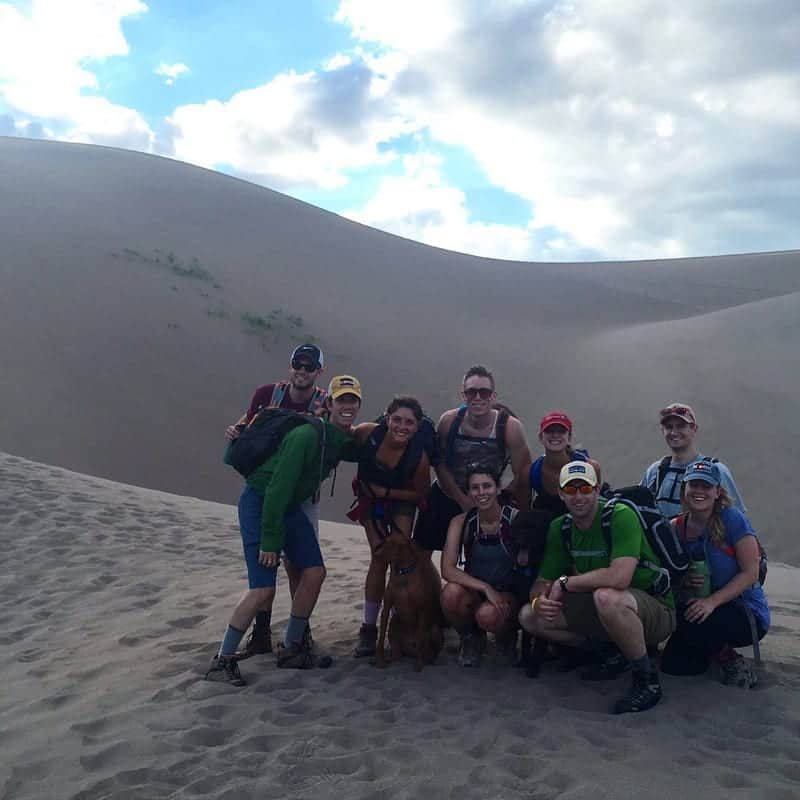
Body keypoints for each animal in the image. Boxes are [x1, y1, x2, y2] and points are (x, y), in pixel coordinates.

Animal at [374, 536, 444, 672]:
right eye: (385, 542)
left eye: (393, 545)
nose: (375, 554)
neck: (403, 573)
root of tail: (410, 651)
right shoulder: (386, 608)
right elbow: (381, 637)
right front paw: (380, 660)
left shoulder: (422, 611)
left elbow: (421, 639)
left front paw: (419, 664)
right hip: (394, 621)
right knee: (398, 652)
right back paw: (393, 656)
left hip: (435, 629)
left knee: (428, 649)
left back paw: (429, 659)